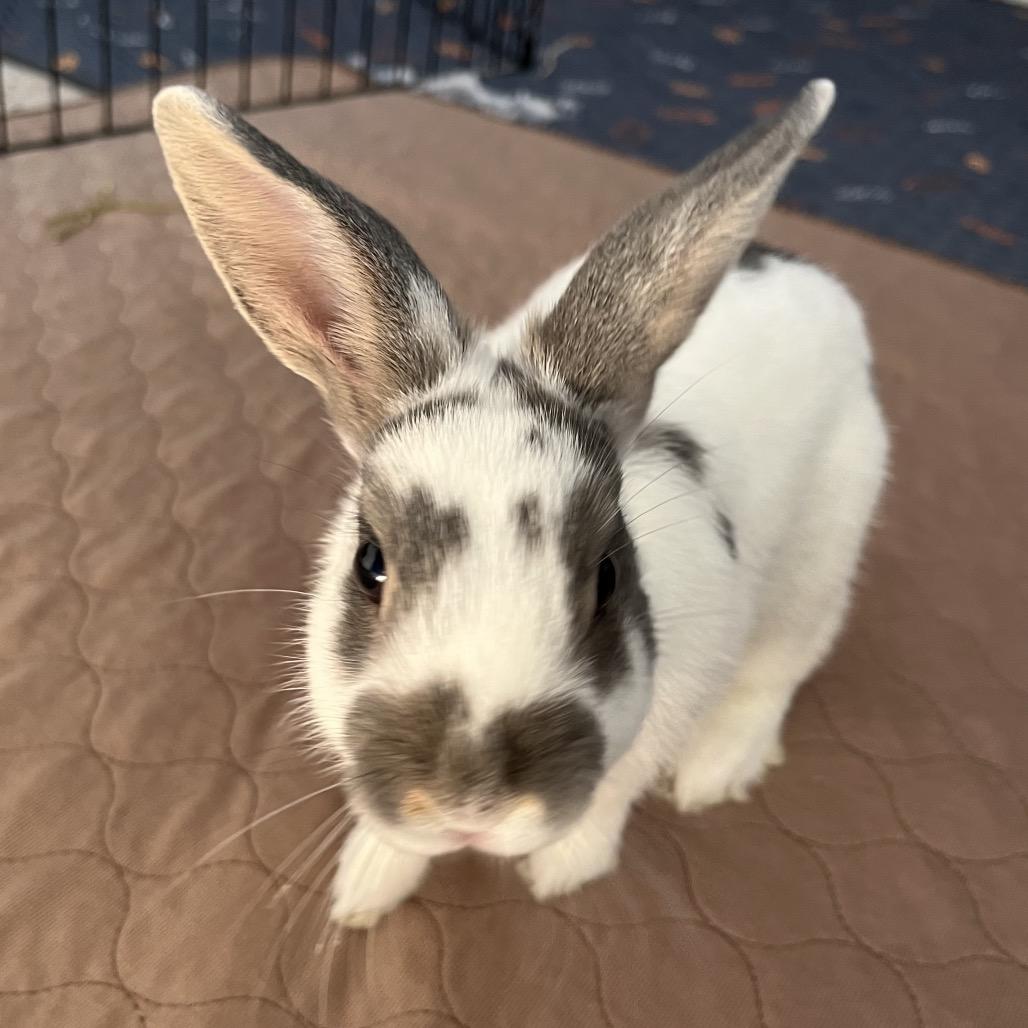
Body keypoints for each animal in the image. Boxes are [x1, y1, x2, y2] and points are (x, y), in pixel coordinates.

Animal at [153, 78, 888, 928]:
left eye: (607, 577)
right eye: (370, 564)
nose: (468, 804)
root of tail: (808, 275)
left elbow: (615, 794)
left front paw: (563, 869)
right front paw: (365, 888)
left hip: (821, 553)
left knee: (782, 667)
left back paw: (717, 771)